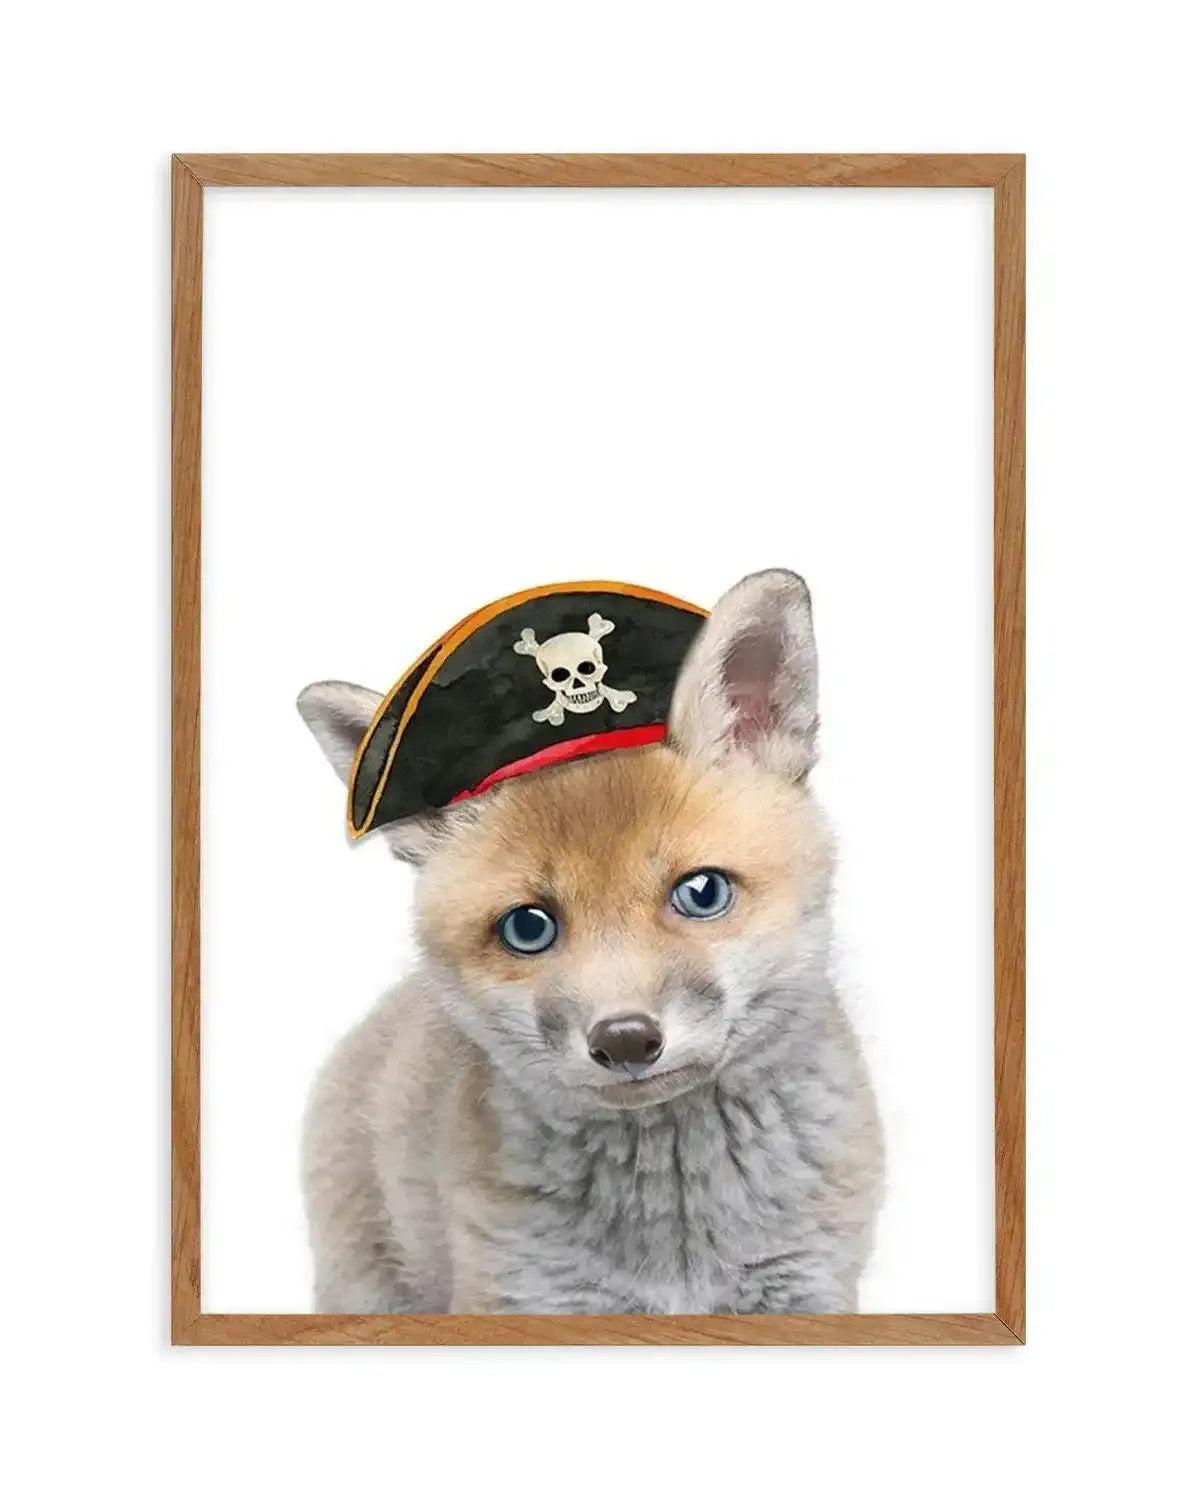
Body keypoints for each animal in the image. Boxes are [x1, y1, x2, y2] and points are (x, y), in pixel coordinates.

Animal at [297, 569, 882, 1314]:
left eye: (702, 893)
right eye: (528, 927)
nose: (626, 1040)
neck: (678, 1241)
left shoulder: (806, 1288)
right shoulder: (524, 1295)